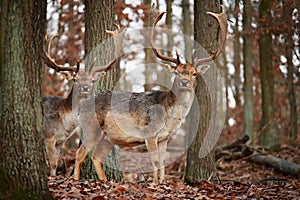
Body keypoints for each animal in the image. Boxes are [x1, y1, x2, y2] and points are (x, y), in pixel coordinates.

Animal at [42, 26, 118, 175]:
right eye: (75, 79)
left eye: (92, 80)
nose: (85, 87)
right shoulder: (48, 135)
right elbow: (52, 164)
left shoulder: (60, 141)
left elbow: (57, 162)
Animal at [75, 7, 227, 184]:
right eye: (176, 72)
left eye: (194, 73)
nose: (184, 81)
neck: (169, 117)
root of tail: (80, 106)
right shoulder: (150, 133)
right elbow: (154, 160)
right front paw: (154, 183)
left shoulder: (164, 138)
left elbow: (162, 160)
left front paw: (162, 182)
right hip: (91, 127)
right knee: (80, 154)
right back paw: (76, 180)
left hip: (107, 137)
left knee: (96, 156)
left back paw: (105, 181)